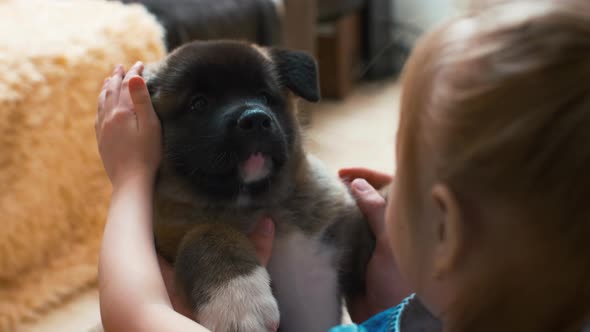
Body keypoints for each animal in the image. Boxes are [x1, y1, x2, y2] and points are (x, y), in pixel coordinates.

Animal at [146, 40, 376, 330]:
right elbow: (205, 232)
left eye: (265, 96)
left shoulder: (349, 229)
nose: (255, 119)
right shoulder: (172, 238)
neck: (259, 203)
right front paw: (237, 301)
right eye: (198, 103)